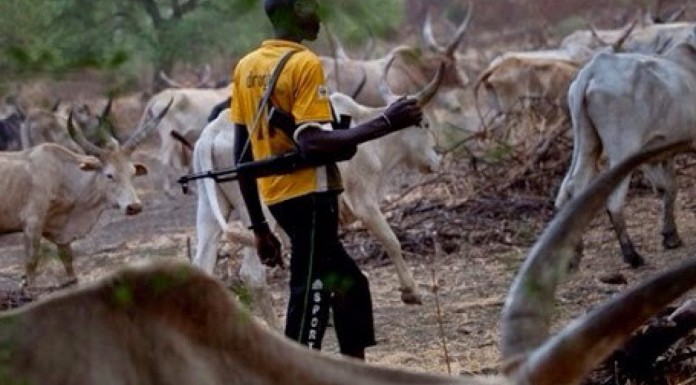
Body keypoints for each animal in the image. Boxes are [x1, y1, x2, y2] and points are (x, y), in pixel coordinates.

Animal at [0, 99, 173, 284]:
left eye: (132, 172)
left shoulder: (61, 234)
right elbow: (31, 265)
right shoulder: (32, 224)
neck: (64, 176)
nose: (134, 207)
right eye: (109, 175)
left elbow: (68, 260)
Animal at [556, 26, 696, 268]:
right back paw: (631, 255)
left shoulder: (660, 153)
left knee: (573, 187)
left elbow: (669, 189)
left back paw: (573, 255)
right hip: (623, 150)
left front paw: (671, 236)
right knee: (613, 201)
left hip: (588, 143)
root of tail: (592, 70)